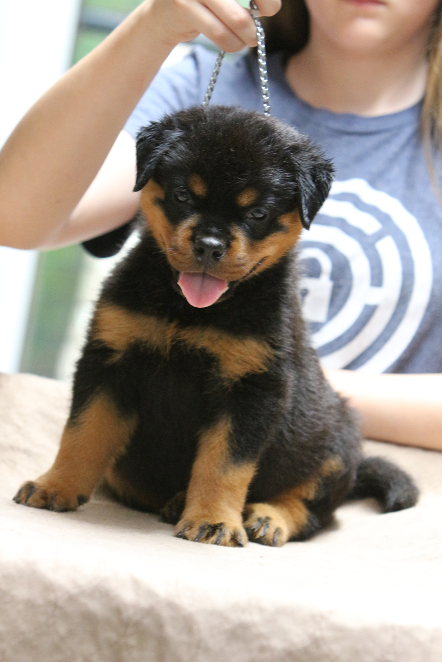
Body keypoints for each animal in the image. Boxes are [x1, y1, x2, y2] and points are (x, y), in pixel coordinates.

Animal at [14, 106, 418, 548]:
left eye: (257, 213)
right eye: (183, 196)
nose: (209, 245)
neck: (190, 312)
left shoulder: (251, 388)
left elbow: (224, 463)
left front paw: (213, 521)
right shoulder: (109, 360)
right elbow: (83, 433)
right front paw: (56, 486)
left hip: (336, 446)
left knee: (314, 509)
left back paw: (267, 517)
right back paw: (177, 501)